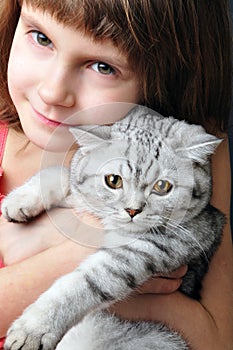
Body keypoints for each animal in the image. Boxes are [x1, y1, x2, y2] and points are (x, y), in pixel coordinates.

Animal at [1, 106, 224, 350]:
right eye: (113, 180)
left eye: (162, 186)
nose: (132, 210)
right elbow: (60, 173)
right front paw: (19, 200)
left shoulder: (159, 245)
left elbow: (84, 283)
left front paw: (35, 327)